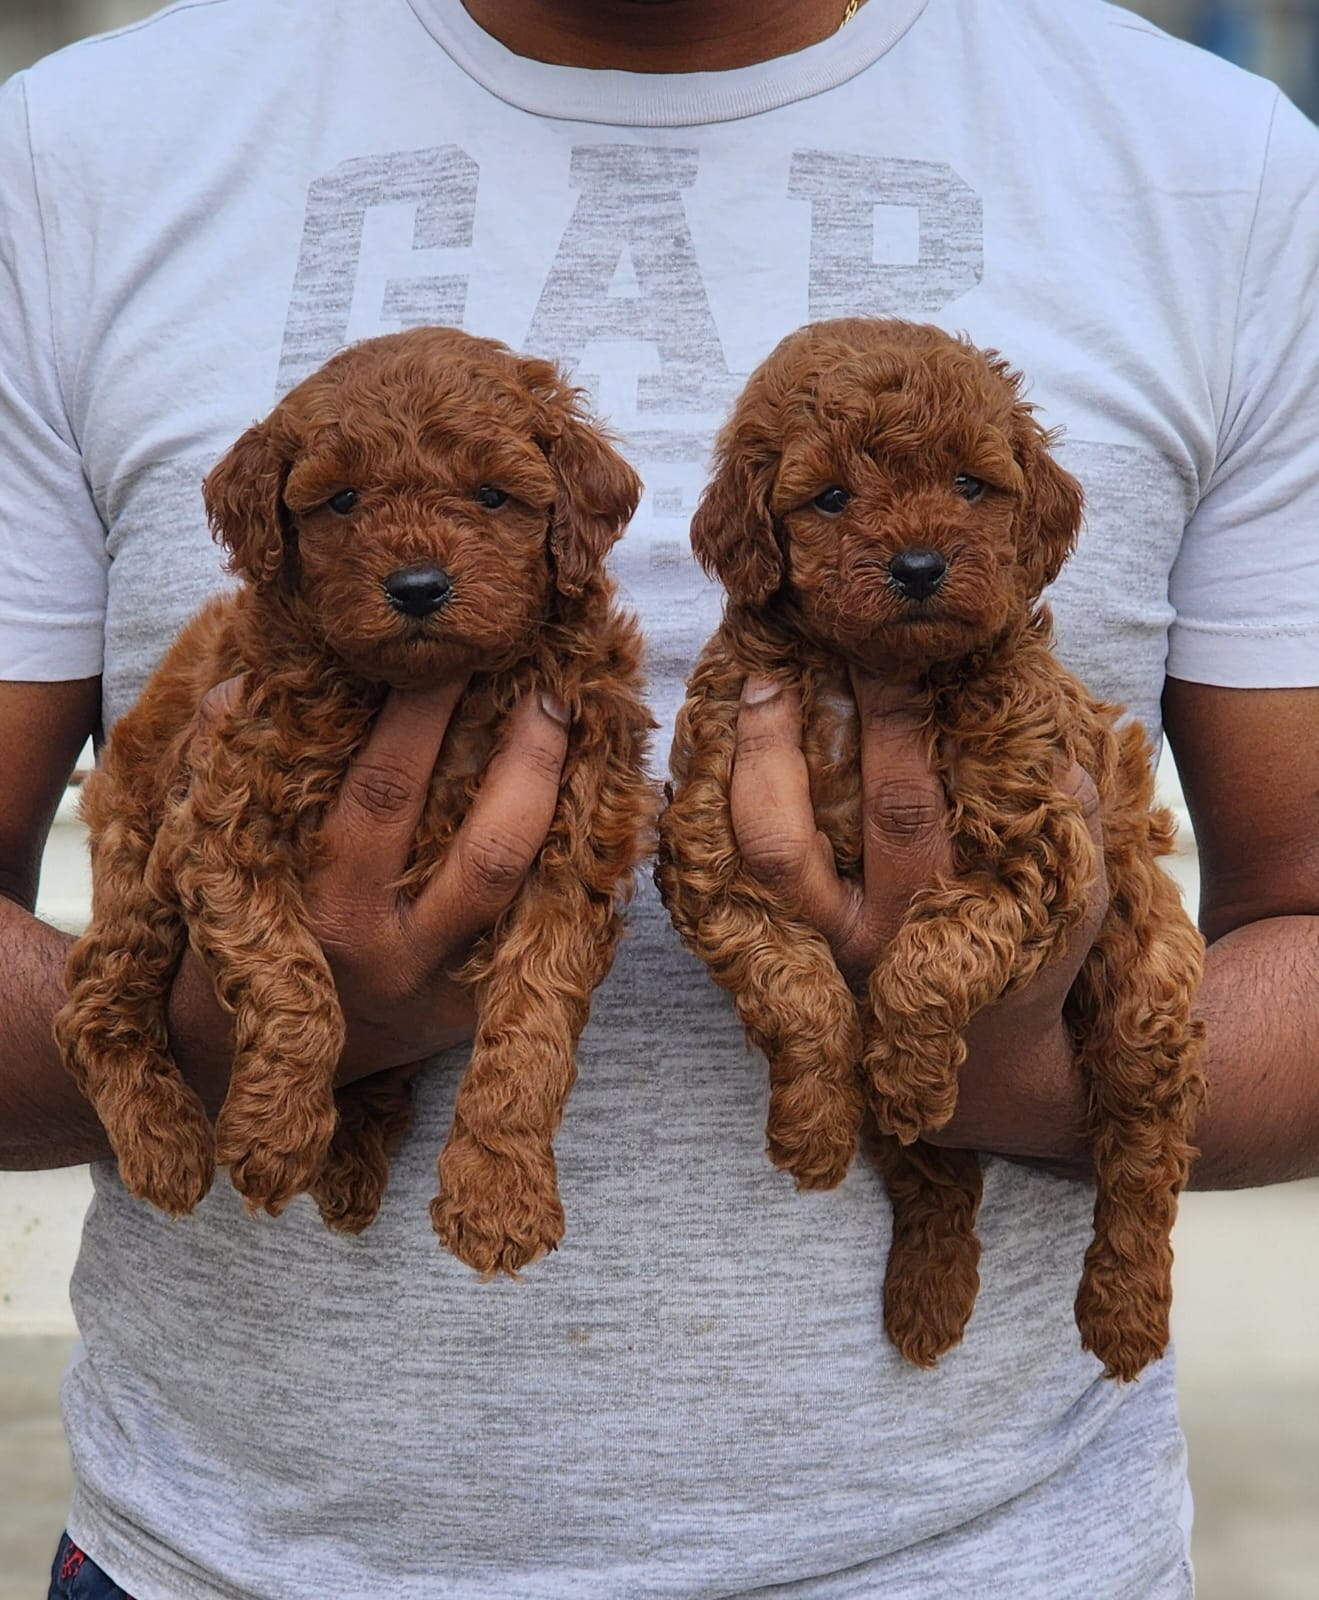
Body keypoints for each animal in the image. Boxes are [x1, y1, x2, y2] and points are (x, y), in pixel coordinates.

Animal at [55, 326, 655, 1276]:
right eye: (341, 500)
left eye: (491, 495)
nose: (416, 587)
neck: (441, 686)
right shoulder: (222, 815)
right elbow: (294, 985)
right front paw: (274, 1134)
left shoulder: (575, 840)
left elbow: (531, 1025)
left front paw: (499, 1190)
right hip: (136, 847)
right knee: (92, 1001)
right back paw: (165, 1142)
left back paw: (354, 1154)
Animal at [656, 318, 1206, 1379]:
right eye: (831, 497)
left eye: (968, 484)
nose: (917, 567)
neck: (868, 669)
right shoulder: (712, 843)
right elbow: (791, 981)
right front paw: (815, 1123)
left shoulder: (1039, 846)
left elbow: (932, 951)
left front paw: (907, 1059)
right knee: (936, 1179)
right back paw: (926, 1295)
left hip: (1142, 982)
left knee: (1141, 1155)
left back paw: (1125, 1312)